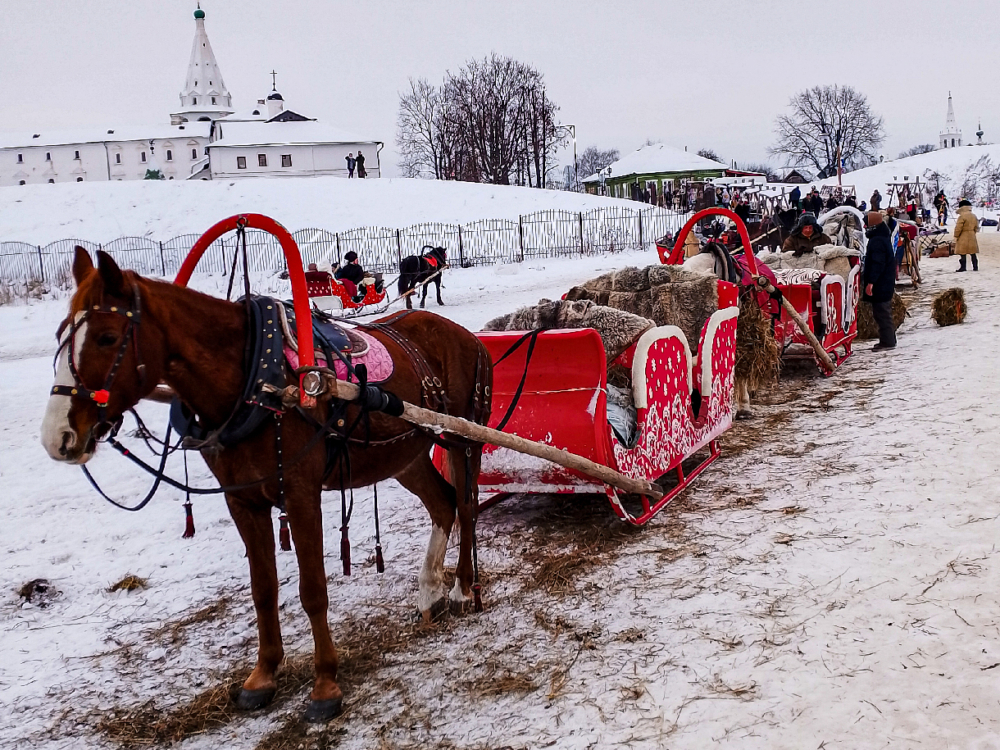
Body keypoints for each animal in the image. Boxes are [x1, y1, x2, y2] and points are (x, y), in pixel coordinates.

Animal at [40, 248, 492, 723]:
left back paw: (462, 587)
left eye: (107, 337)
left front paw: (325, 685)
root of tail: (467, 337)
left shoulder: (300, 494)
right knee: (442, 504)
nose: (57, 437)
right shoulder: (243, 501)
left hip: (463, 439)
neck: (252, 381)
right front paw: (263, 675)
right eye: (60, 335)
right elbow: (263, 589)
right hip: (405, 453)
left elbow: (312, 591)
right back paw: (429, 592)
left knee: (466, 504)